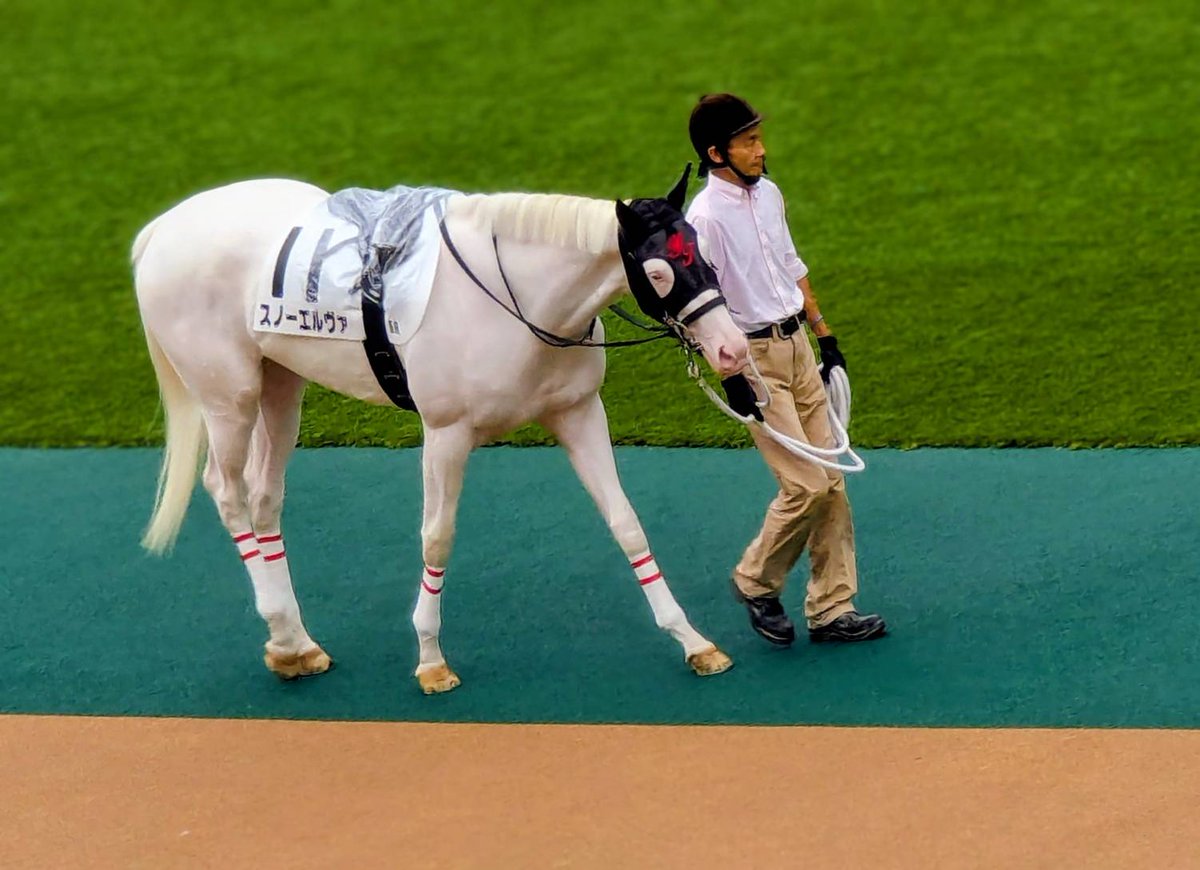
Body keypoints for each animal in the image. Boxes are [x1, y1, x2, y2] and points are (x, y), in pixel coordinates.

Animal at [132, 167, 749, 693]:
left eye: (706, 252)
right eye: (659, 270)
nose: (731, 349)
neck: (517, 298)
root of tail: (160, 229)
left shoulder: (577, 413)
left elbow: (627, 524)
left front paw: (692, 640)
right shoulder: (446, 432)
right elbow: (438, 535)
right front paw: (431, 659)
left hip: (281, 383)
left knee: (265, 495)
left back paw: (296, 644)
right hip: (228, 396)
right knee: (226, 490)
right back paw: (282, 631)